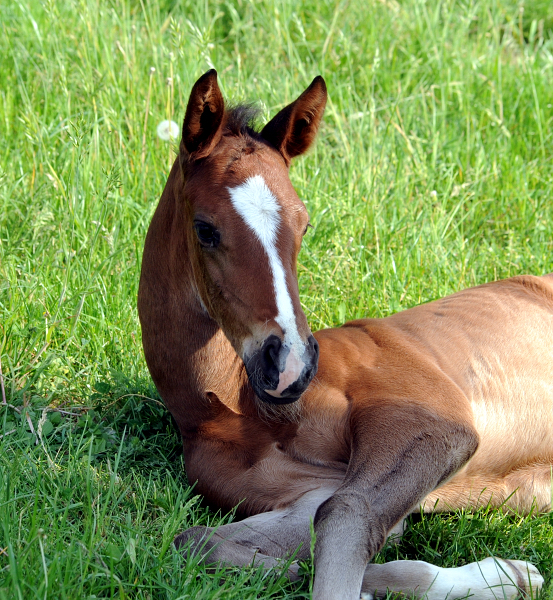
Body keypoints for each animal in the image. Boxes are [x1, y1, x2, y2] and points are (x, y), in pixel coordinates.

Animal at [138, 71, 548, 600]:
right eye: (205, 229)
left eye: (304, 224)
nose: (290, 366)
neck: (235, 410)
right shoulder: (304, 492)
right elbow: (197, 540)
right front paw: (505, 573)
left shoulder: (432, 422)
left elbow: (347, 516)